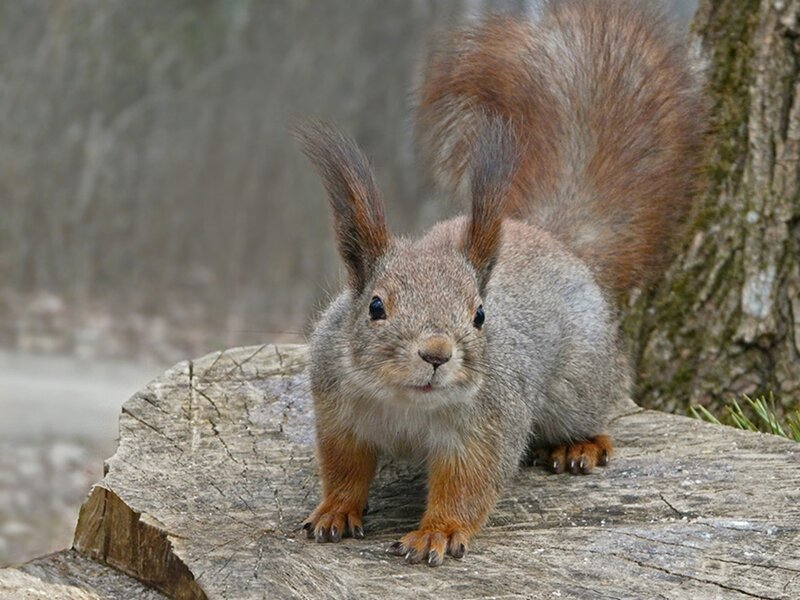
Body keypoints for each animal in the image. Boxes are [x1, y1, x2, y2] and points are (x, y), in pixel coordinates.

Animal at [294, 0, 706, 567]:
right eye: (375, 307)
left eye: (479, 314)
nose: (437, 353)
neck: (408, 405)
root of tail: (552, 239)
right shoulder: (337, 411)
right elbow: (344, 468)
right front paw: (334, 510)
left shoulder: (489, 423)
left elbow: (469, 483)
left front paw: (438, 532)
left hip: (579, 381)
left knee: (596, 408)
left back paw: (581, 445)